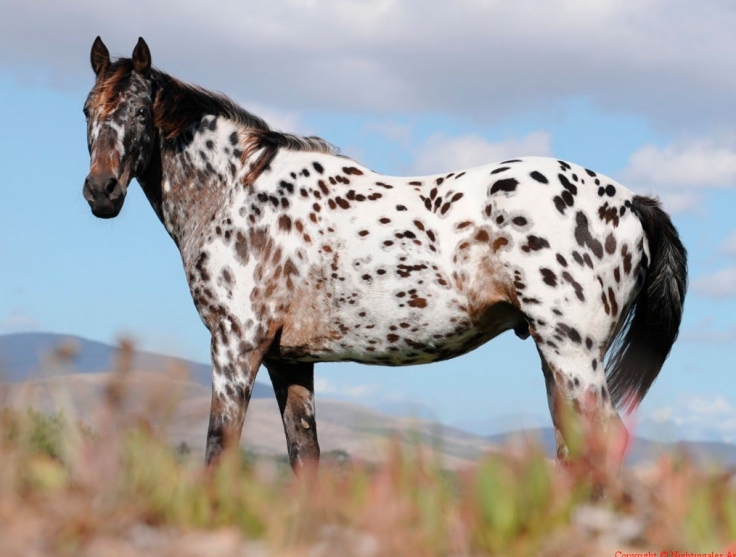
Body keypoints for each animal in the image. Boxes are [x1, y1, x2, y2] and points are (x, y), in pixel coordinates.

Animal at [81, 37, 687, 475]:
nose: (100, 192)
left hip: (573, 353)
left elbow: (218, 449)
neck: (237, 191)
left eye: (142, 113)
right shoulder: (289, 360)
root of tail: (632, 202)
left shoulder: (236, 346)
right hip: (556, 354)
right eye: (87, 109)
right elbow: (305, 459)